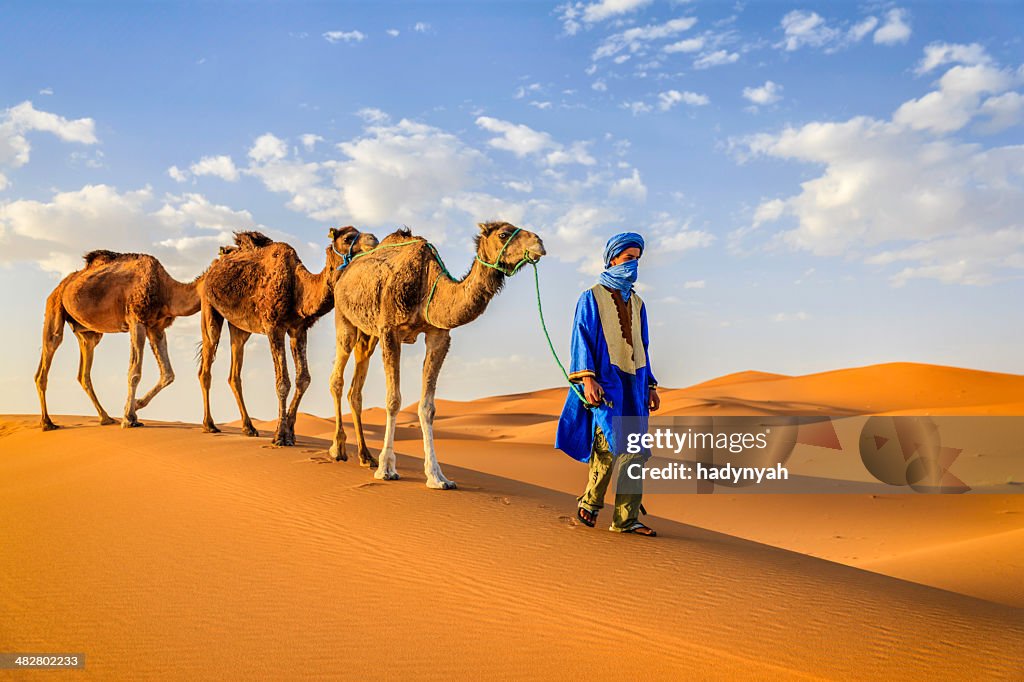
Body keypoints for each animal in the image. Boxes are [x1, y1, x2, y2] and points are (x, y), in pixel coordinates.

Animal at [33, 249, 203, 430]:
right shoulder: (137, 320)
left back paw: (106, 418)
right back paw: (47, 423)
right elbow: (134, 372)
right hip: (55, 306)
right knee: (51, 348)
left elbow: (168, 374)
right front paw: (129, 418)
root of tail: (59, 287)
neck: (167, 290)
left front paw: (136, 406)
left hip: (89, 333)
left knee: (84, 370)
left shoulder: (156, 328)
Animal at [197, 225, 378, 444]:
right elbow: (283, 381)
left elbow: (304, 378)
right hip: (209, 306)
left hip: (239, 327)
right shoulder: (274, 327)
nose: (374, 239)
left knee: (234, 371)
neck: (298, 288)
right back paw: (209, 425)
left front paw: (290, 431)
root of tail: (211, 269)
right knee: (207, 361)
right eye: (348, 238)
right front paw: (280, 436)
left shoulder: (298, 329)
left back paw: (249, 427)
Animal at [331, 220, 548, 485]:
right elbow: (393, 400)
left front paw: (437, 476)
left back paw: (365, 456)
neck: (426, 283)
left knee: (356, 388)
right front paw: (386, 468)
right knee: (338, 376)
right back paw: (338, 450)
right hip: (344, 318)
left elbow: (428, 407)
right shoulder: (390, 330)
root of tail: (344, 272)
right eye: (504, 233)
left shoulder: (438, 335)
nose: (539, 243)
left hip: (369, 334)